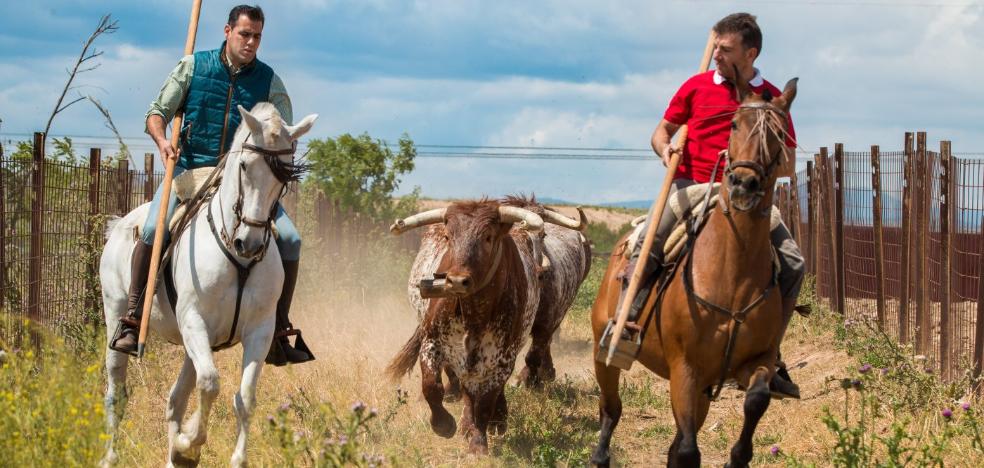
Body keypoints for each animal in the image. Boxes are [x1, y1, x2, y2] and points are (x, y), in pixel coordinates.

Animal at [100, 103, 318, 468]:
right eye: (244, 166)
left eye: (285, 173)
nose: (250, 243)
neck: (236, 257)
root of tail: (118, 225)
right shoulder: (193, 321)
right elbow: (211, 385)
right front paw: (188, 445)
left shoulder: (259, 331)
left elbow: (245, 397)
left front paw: (218, 455)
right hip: (117, 318)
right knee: (117, 390)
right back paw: (111, 456)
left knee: (176, 398)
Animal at [386, 197, 588, 454]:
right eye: (448, 236)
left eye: (489, 237)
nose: (456, 281)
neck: (474, 311)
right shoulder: (432, 343)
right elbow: (431, 387)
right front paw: (444, 424)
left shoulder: (506, 353)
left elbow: (486, 400)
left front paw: (479, 439)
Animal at [588, 75, 796, 466]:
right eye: (733, 124)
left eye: (779, 134)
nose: (744, 184)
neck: (732, 276)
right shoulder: (684, 369)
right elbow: (687, 449)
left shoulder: (755, 361)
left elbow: (757, 399)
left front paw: (738, 457)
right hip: (603, 352)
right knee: (611, 409)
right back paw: (600, 456)